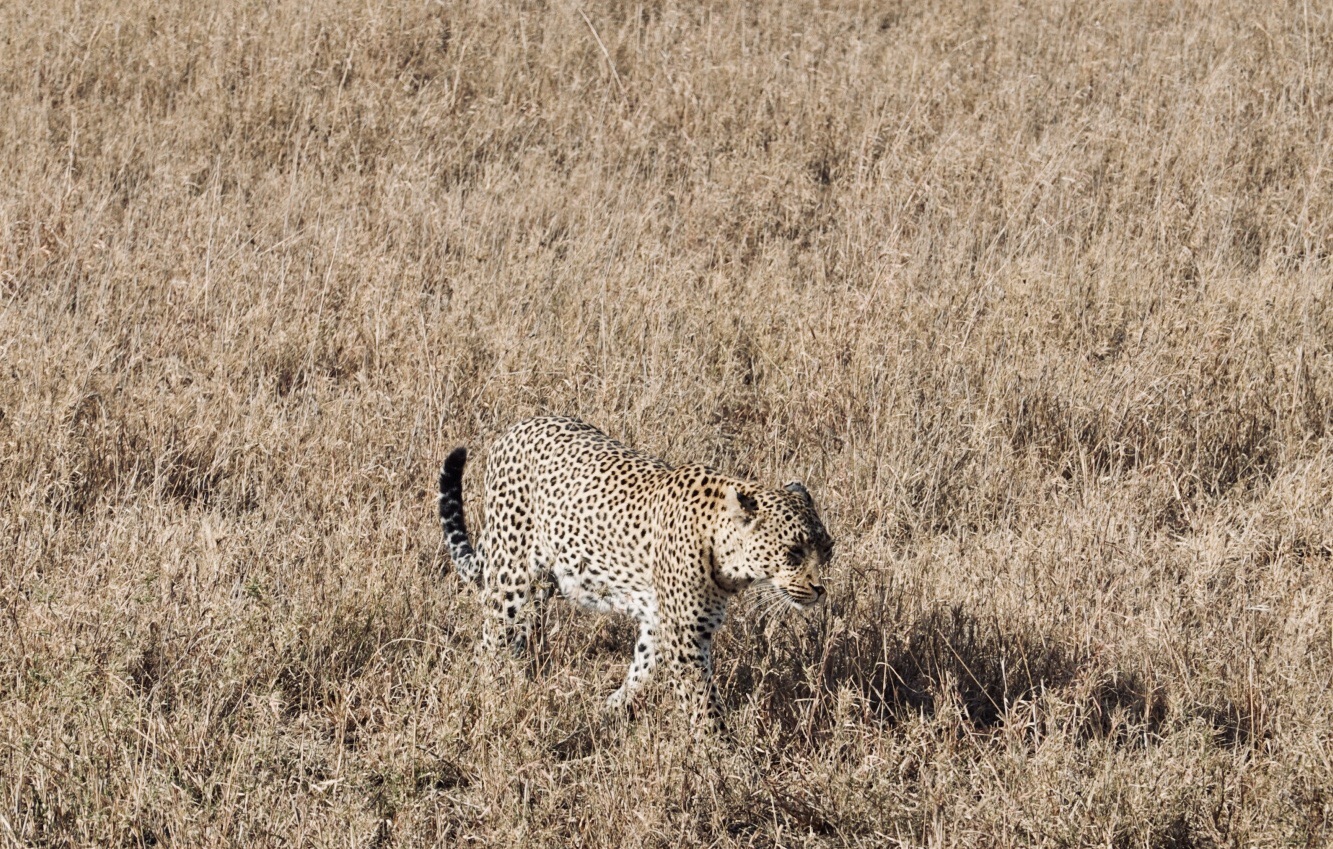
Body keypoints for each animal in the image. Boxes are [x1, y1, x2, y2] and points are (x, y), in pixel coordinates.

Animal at [437, 415, 831, 719]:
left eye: (827, 550)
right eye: (793, 553)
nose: (818, 590)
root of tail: (515, 428)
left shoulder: (660, 622)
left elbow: (643, 670)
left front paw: (611, 708)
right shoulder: (684, 635)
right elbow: (703, 704)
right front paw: (724, 758)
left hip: (536, 587)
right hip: (512, 579)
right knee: (491, 643)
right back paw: (492, 698)